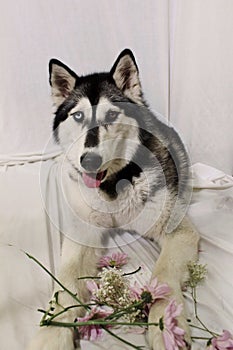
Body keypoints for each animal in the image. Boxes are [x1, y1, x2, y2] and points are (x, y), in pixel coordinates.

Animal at [27, 50, 198, 350]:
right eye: (78, 115)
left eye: (111, 114)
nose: (90, 160)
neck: (113, 185)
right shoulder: (82, 233)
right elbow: (66, 280)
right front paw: (51, 332)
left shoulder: (179, 230)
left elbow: (163, 273)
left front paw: (167, 322)